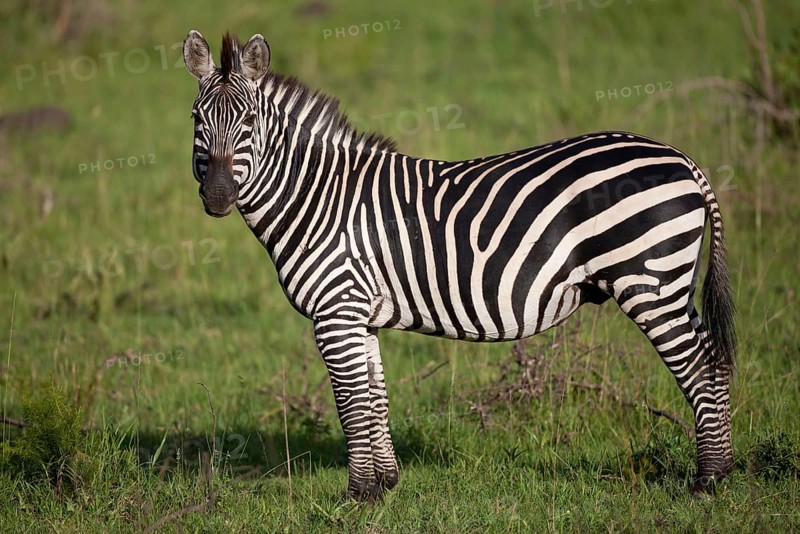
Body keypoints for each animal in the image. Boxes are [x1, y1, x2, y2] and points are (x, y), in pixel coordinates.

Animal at [183, 31, 736, 500]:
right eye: (196, 121)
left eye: (249, 124)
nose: (217, 197)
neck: (319, 197)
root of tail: (684, 161)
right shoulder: (360, 312)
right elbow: (375, 397)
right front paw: (385, 485)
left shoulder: (336, 311)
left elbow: (349, 401)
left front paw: (357, 494)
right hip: (672, 284)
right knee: (716, 360)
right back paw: (724, 470)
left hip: (650, 282)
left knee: (700, 366)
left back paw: (707, 481)